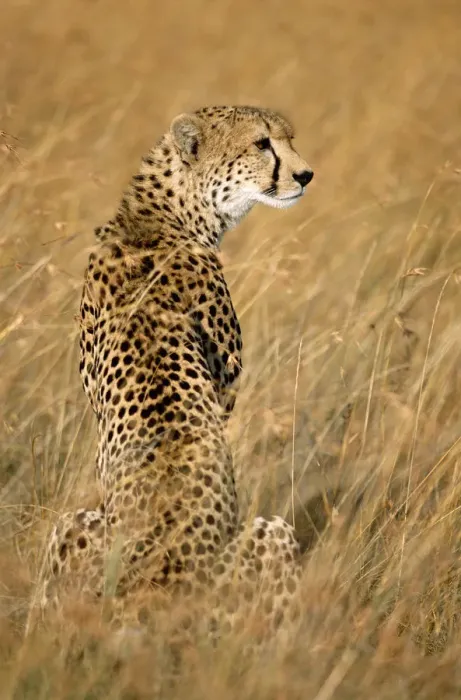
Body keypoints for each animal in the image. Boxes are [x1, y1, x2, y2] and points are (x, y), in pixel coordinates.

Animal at [33, 105, 314, 643]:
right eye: (262, 144)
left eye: (290, 138)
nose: (306, 175)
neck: (162, 212)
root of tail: (156, 592)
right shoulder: (224, 386)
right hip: (271, 533)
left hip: (70, 526)